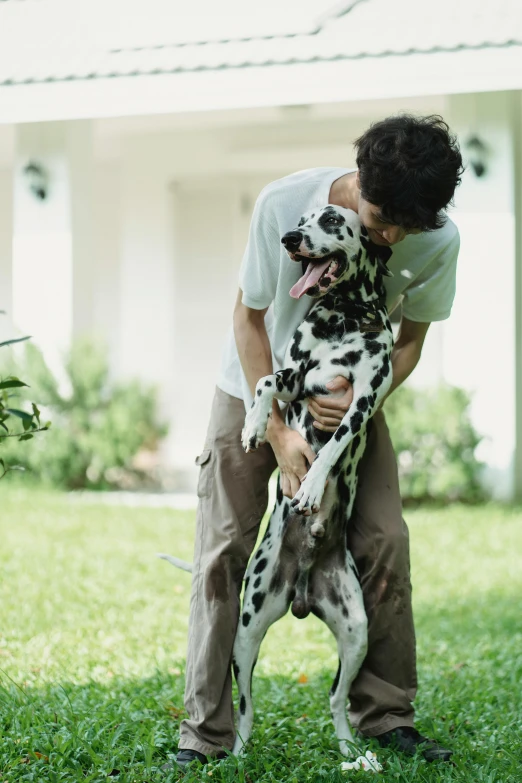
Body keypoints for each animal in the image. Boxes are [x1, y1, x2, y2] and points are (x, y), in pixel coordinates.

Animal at [230, 205, 392, 764]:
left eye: (331, 220)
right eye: (302, 218)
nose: (289, 238)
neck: (344, 316)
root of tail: (301, 591)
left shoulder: (363, 396)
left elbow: (335, 444)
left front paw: (311, 486)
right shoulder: (297, 376)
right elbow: (263, 381)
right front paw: (255, 426)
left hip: (358, 632)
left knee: (337, 701)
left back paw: (354, 755)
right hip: (245, 632)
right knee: (244, 707)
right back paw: (237, 756)